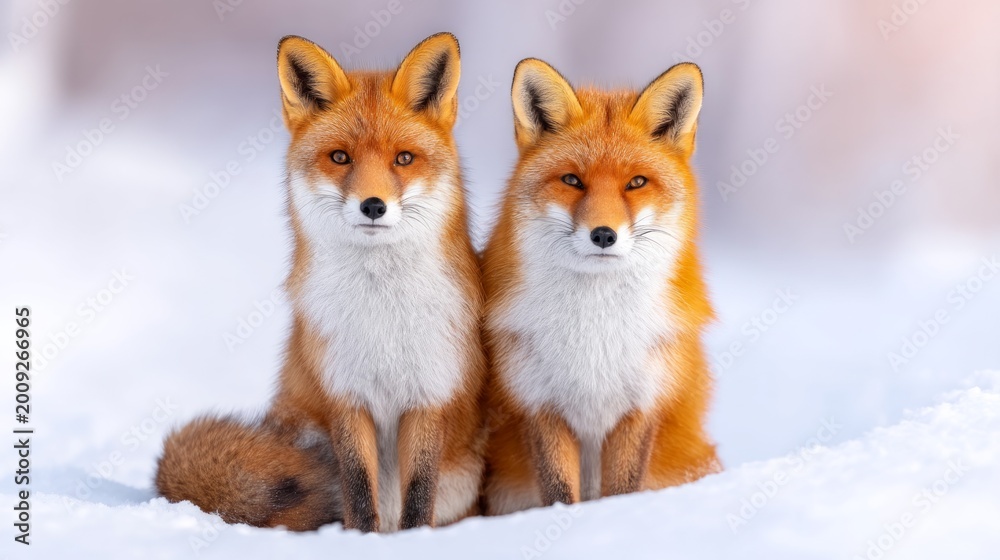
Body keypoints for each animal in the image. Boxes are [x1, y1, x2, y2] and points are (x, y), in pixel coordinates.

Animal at [155, 33, 487, 533]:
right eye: (340, 157)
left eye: (403, 159)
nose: (373, 205)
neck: (382, 314)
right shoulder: (344, 397)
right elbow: (358, 487)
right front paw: (360, 539)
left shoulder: (429, 395)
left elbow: (418, 494)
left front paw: (413, 540)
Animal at [481, 58, 721, 514]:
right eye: (573, 180)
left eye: (636, 183)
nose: (604, 235)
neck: (594, 330)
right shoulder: (541, 405)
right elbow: (560, 492)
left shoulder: (641, 406)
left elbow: (623, 489)